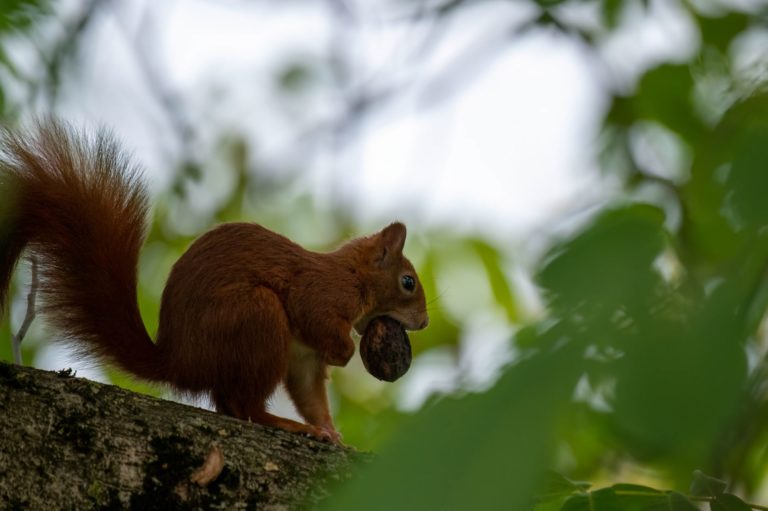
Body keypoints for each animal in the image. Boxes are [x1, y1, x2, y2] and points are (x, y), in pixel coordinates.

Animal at [0, 121, 428, 444]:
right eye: (408, 282)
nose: (423, 322)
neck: (352, 276)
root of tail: (180, 360)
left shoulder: (304, 360)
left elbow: (311, 395)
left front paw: (332, 432)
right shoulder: (320, 293)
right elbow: (315, 317)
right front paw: (345, 354)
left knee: (231, 404)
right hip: (258, 316)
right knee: (246, 406)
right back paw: (285, 424)